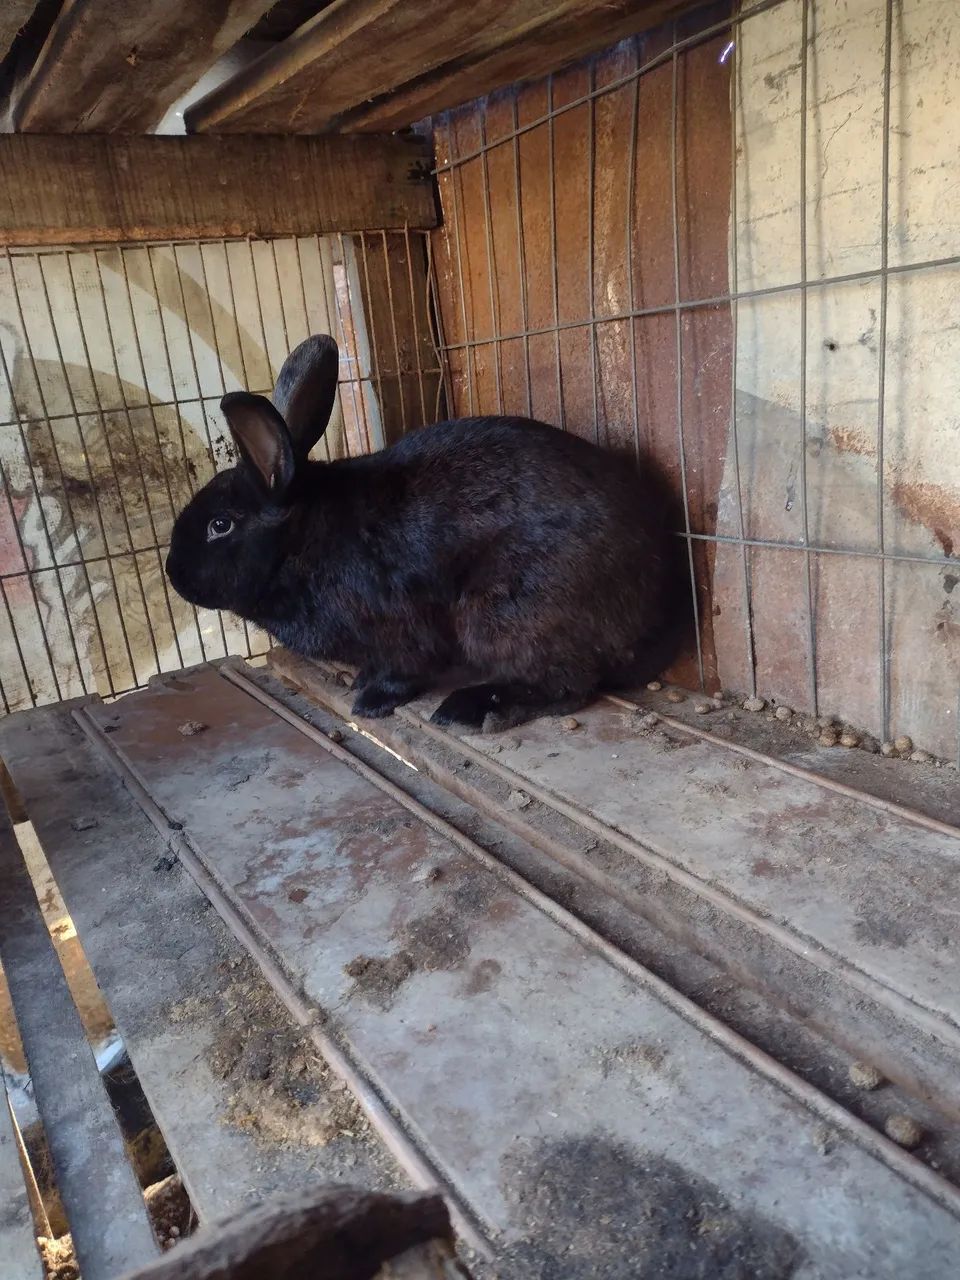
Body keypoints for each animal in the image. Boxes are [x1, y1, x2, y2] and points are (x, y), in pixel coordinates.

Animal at [165, 333, 681, 733]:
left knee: (565, 685)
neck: (301, 541)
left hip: (506, 613)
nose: (174, 575)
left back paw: (472, 710)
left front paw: (370, 701)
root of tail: (654, 612)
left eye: (219, 525)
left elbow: (405, 669)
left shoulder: (398, 629)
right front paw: (360, 681)